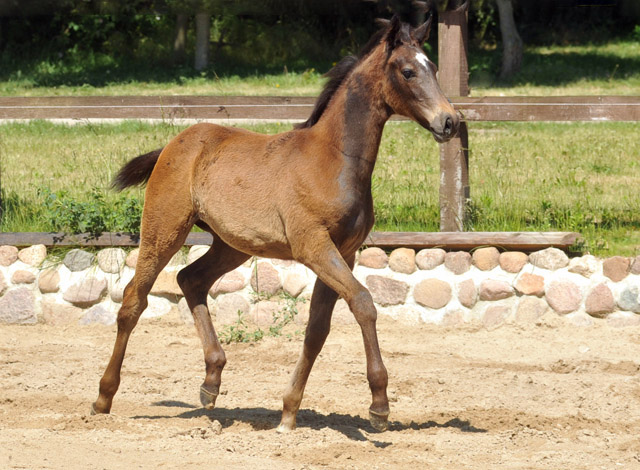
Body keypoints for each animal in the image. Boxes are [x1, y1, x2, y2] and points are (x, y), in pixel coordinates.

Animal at [92, 13, 458, 434]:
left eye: (434, 67)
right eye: (408, 71)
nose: (450, 121)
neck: (334, 159)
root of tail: (174, 144)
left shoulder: (343, 252)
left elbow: (317, 329)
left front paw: (288, 411)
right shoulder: (314, 246)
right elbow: (364, 303)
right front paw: (379, 405)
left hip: (231, 244)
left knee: (191, 280)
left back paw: (211, 382)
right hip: (164, 228)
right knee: (134, 299)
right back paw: (103, 397)